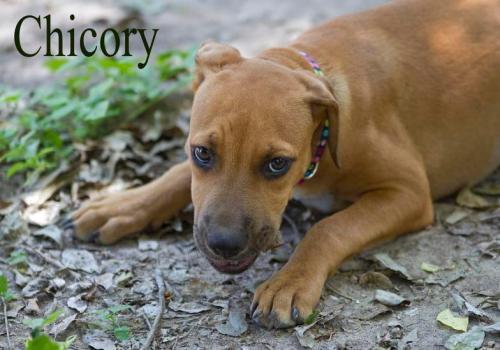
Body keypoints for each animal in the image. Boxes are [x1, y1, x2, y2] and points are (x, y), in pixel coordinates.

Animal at [67, 0, 500, 328]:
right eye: (202, 153)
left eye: (277, 164)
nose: (224, 244)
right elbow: (176, 174)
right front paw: (122, 205)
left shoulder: (408, 191)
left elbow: (329, 228)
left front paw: (288, 283)